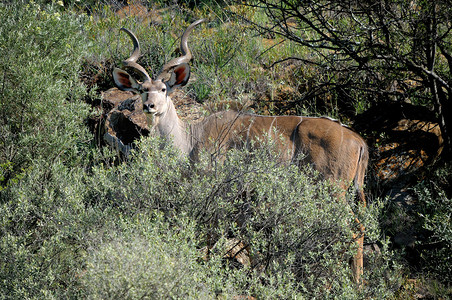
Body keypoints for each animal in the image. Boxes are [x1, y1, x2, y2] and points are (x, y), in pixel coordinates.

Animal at [112, 19, 368, 284]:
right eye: (142, 89)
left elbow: (214, 232)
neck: (191, 139)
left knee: (354, 227)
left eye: (164, 88)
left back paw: (356, 283)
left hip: (332, 189)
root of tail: (359, 141)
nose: (149, 106)